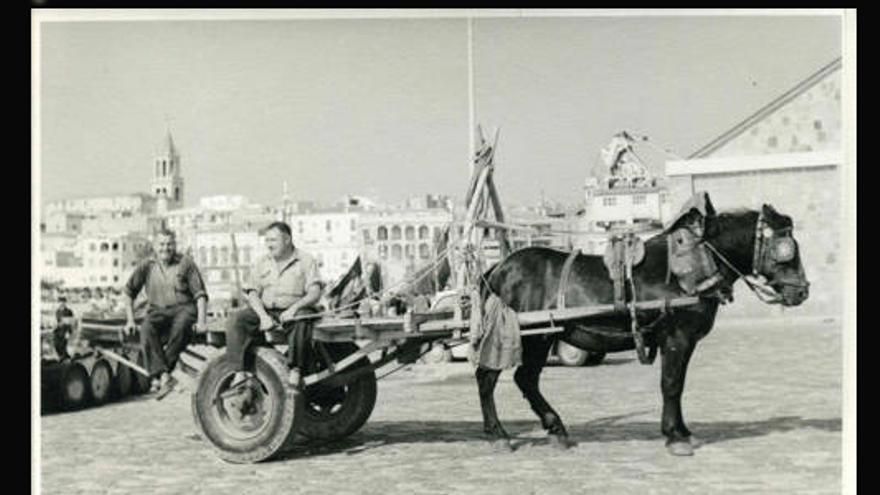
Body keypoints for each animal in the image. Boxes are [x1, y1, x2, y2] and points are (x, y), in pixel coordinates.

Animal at [474, 204, 812, 458]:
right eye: (786, 248)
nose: (801, 292)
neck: (690, 270)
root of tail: (498, 268)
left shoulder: (682, 342)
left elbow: (678, 384)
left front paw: (683, 431)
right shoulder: (677, 337)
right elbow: (671, 384)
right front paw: (675, 437)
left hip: (540, 338)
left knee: (525, 379)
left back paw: (556, 430)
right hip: (525, 336)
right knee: (490, 378)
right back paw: (499, 434)